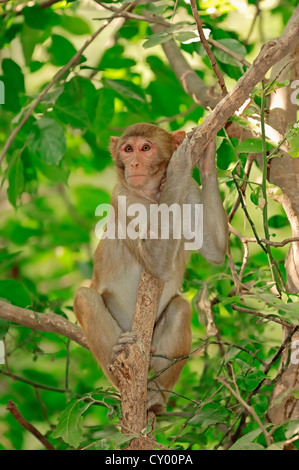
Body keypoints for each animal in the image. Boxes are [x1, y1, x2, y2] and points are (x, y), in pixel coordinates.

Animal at [74, 123, 227, 414]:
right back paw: (122, 362)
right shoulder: (121, 197)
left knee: (180, 308)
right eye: (127, 149)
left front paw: (207, 157)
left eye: (145, 148)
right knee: (84, 298)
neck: (153, 196)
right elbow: (155, 262)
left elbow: (215, 249)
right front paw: (178, 166)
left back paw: (155, 396)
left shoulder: (190, 190)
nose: (133, 163)